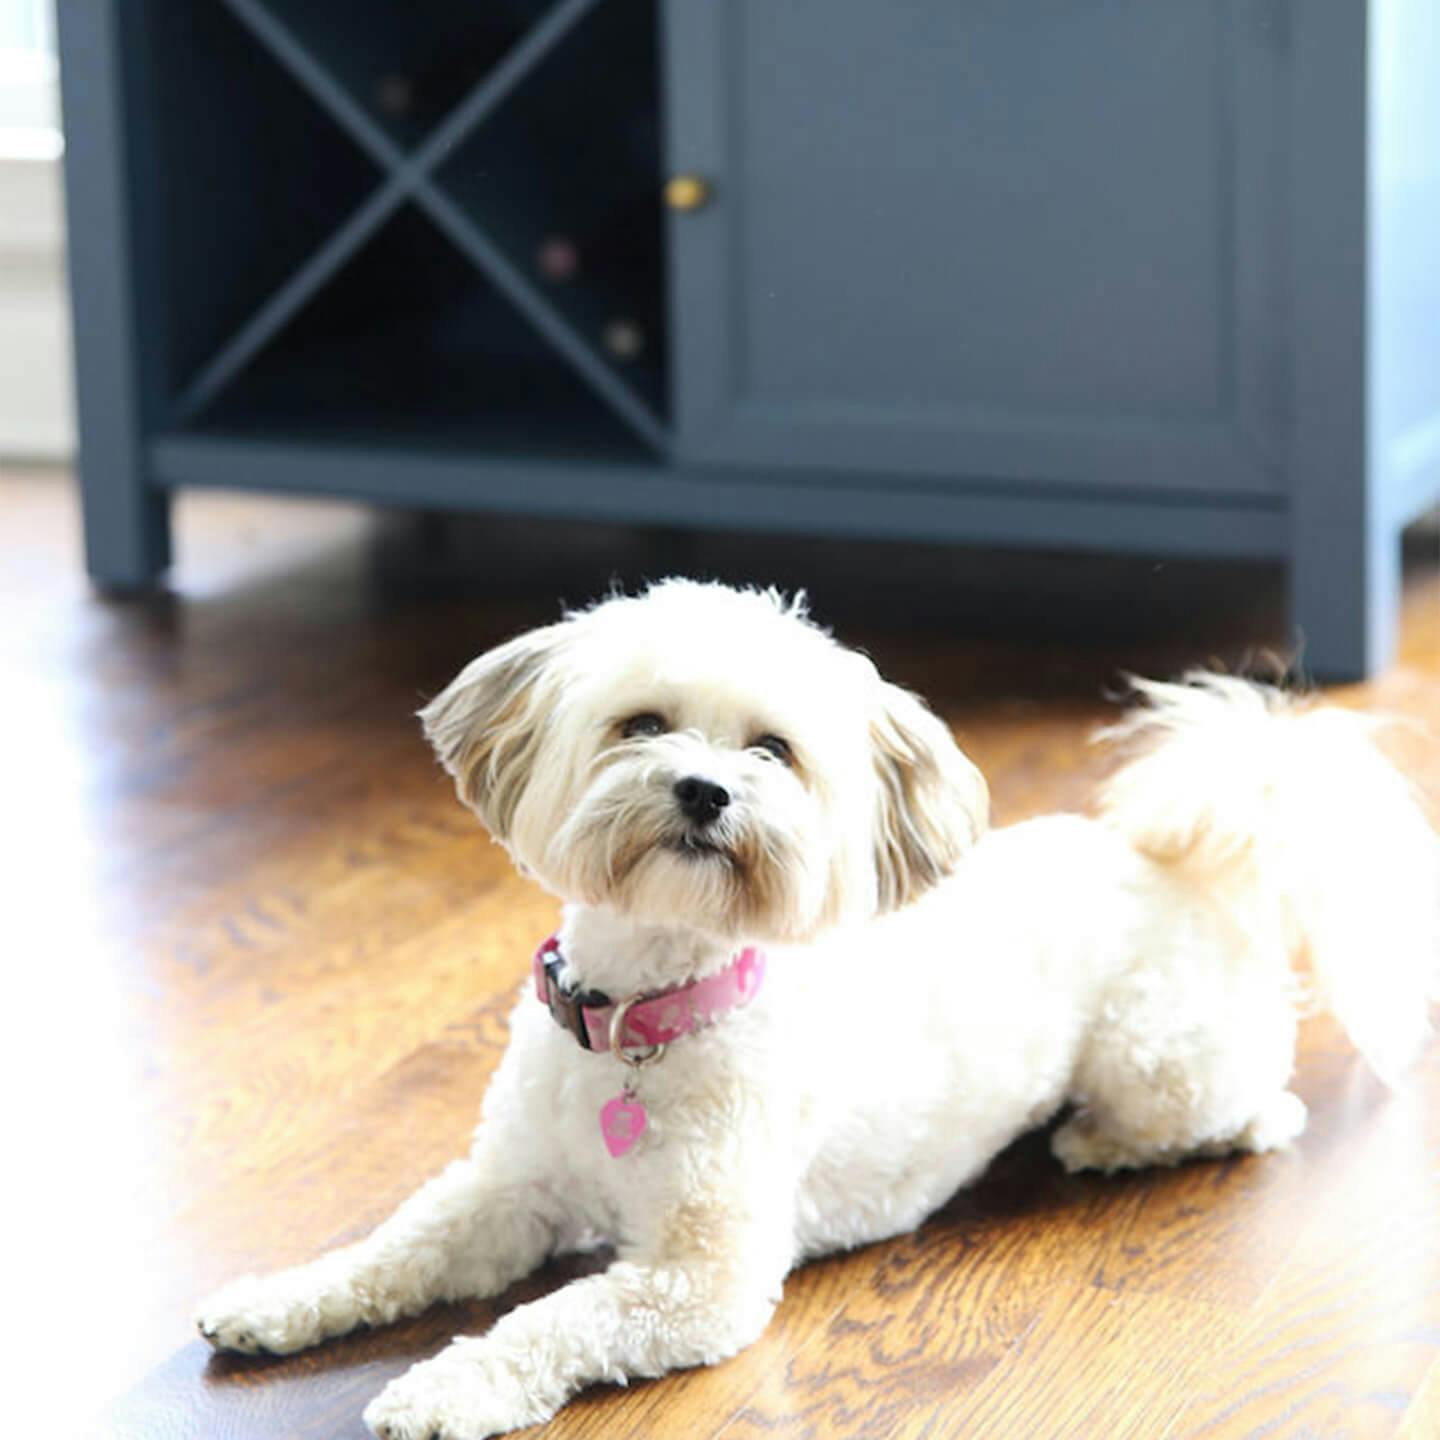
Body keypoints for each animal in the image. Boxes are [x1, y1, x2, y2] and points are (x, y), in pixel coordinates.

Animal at [194, 578, 1440, 1434]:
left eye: (772, 750)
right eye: (642, 724)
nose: (705, 791)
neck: (647, 1016)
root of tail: (1193, 868)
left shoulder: (697, 1280)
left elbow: (556, 1318)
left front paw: (446, 1386)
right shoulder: (505, 1192)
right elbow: (391, 1248)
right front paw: (274, 1301)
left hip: (1156, 1059)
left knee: (1260, 1113)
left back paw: (1103, 1141)